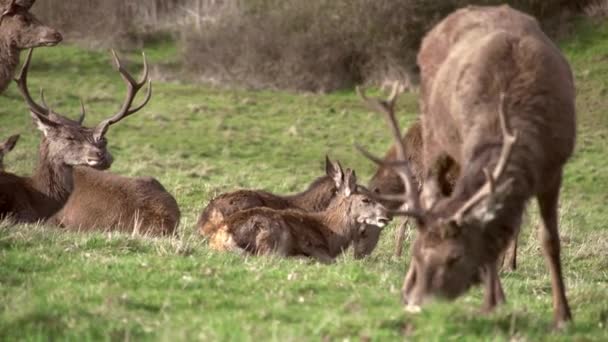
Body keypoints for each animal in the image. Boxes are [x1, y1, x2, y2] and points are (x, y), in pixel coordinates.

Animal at [358, 4, 576, 328]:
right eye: (418, 255)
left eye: (456, 258)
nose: (419, 304)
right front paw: (492, 301)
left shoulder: (554, 169)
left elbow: (549, 240)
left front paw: (562, 315)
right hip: (438, 144)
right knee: (431, 200)